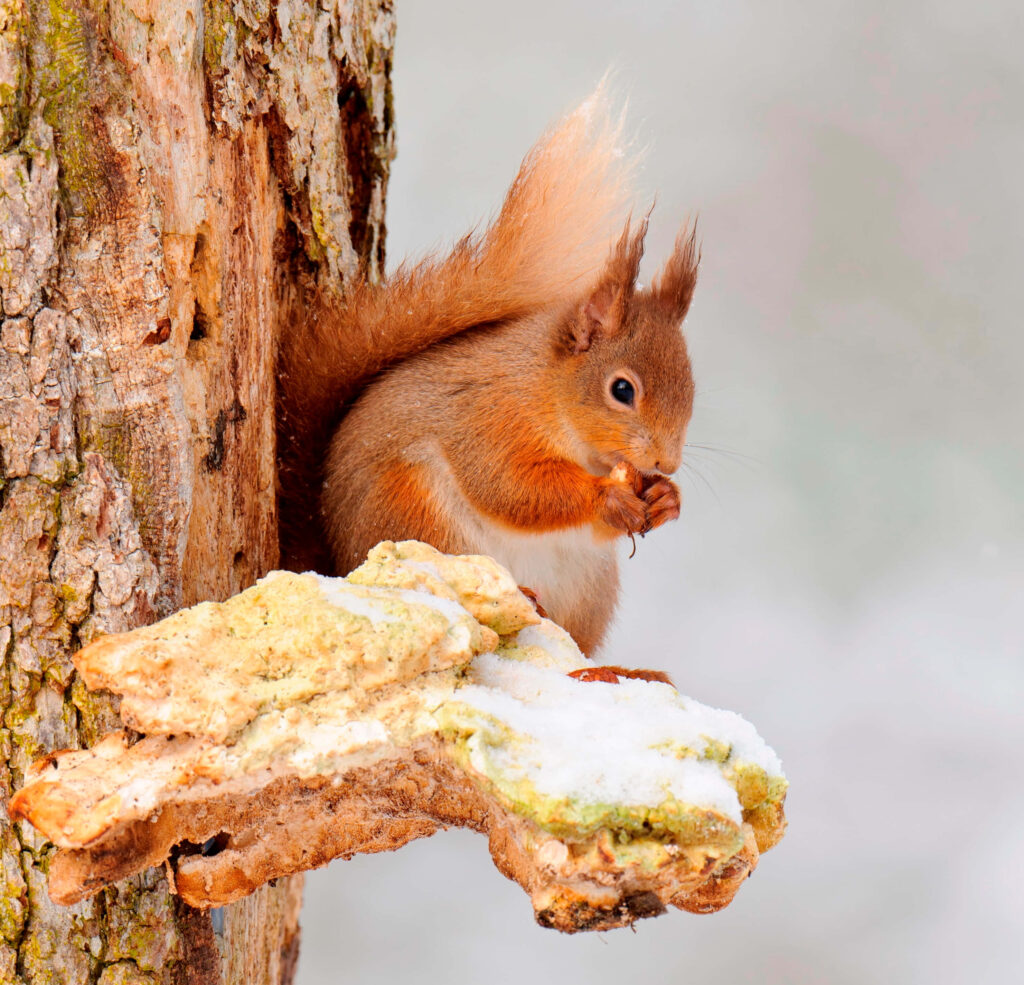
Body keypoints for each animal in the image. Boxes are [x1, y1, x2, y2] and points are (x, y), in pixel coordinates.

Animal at [277, 90, 699, 655]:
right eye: (622, 389)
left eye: (692, 387)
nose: (666, 463)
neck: (545, 388)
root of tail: (339, 565)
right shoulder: (488, 417)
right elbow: (510, 487)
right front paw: (607, 497)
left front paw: (666, 499)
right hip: (416, 513)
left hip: (589, 585)